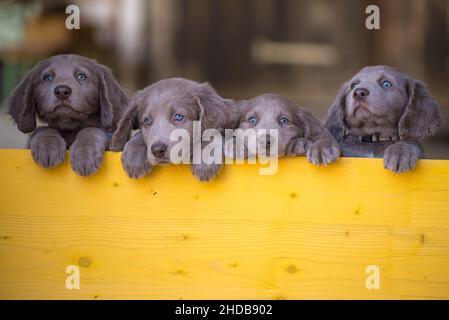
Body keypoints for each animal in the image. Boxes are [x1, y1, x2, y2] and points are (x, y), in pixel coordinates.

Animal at [110, 77, 240, 181]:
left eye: (178, 117)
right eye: (147, 121)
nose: (157, 150)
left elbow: (212, 132)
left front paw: (205, 159)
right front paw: (134, 156)